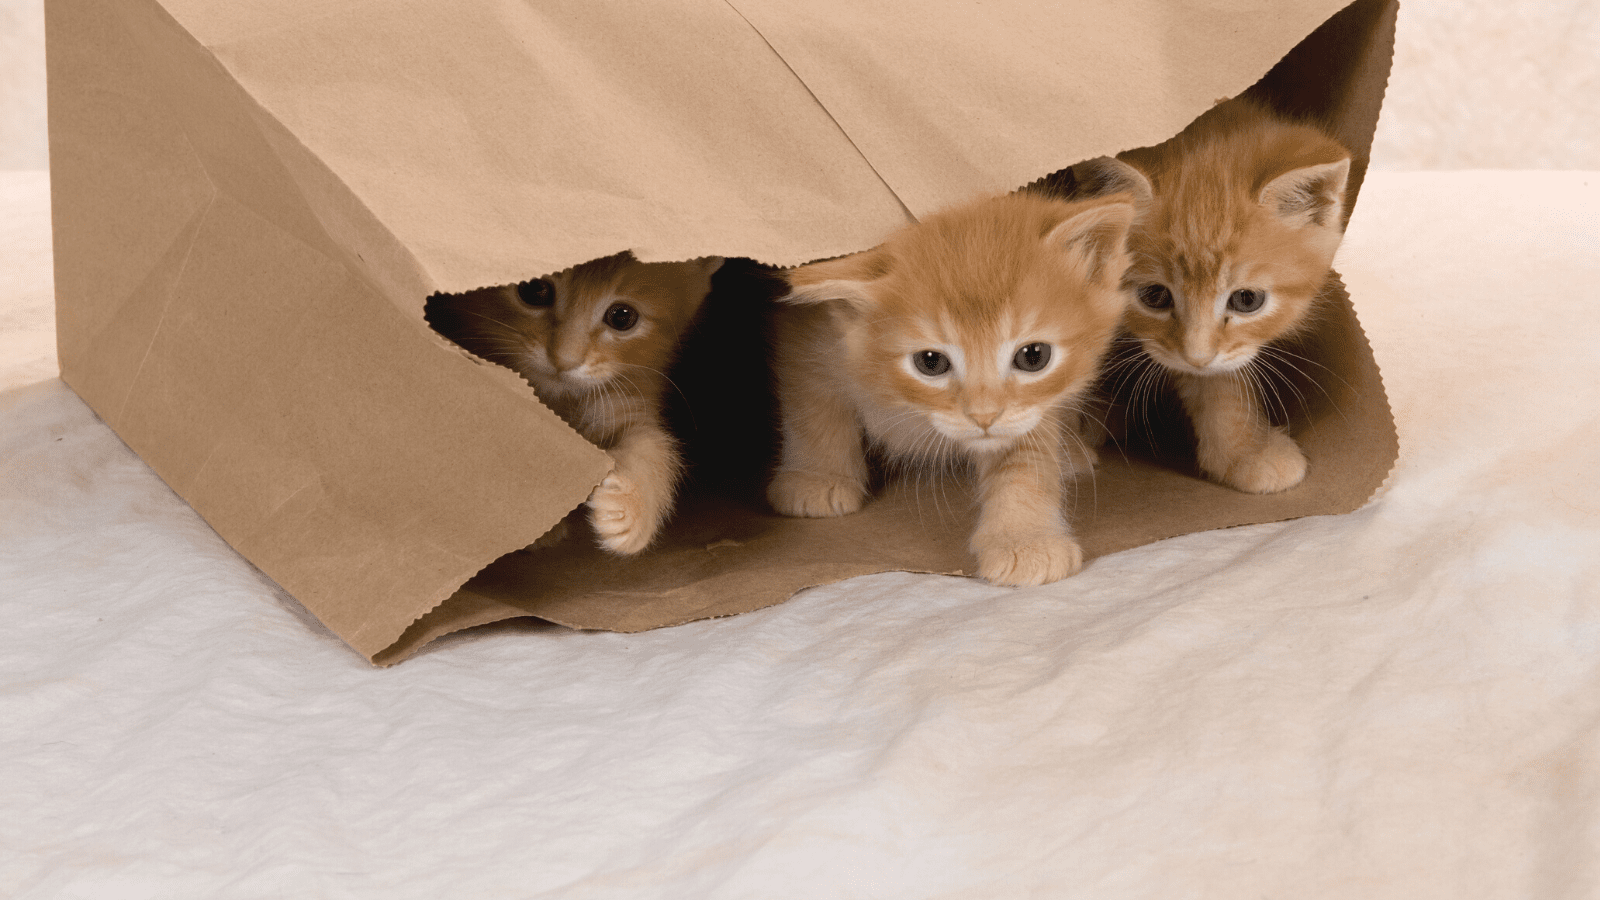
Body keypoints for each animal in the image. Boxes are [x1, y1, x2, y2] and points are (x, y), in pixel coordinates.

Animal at [428, 248, 723, 550]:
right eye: (534, 289)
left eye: (622, 317)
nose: (564, 359)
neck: (558, 399)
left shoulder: (627, 400)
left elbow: (650, 444)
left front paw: (630, 507)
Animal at [764, 189, 1132, 586]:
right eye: (930, 362)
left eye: (1034, 356)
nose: (984, 417)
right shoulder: (810, 336)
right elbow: (813, 407)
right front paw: (817, 478)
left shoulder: (1027, 412)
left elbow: (1023, 458)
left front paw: (1025, 539)